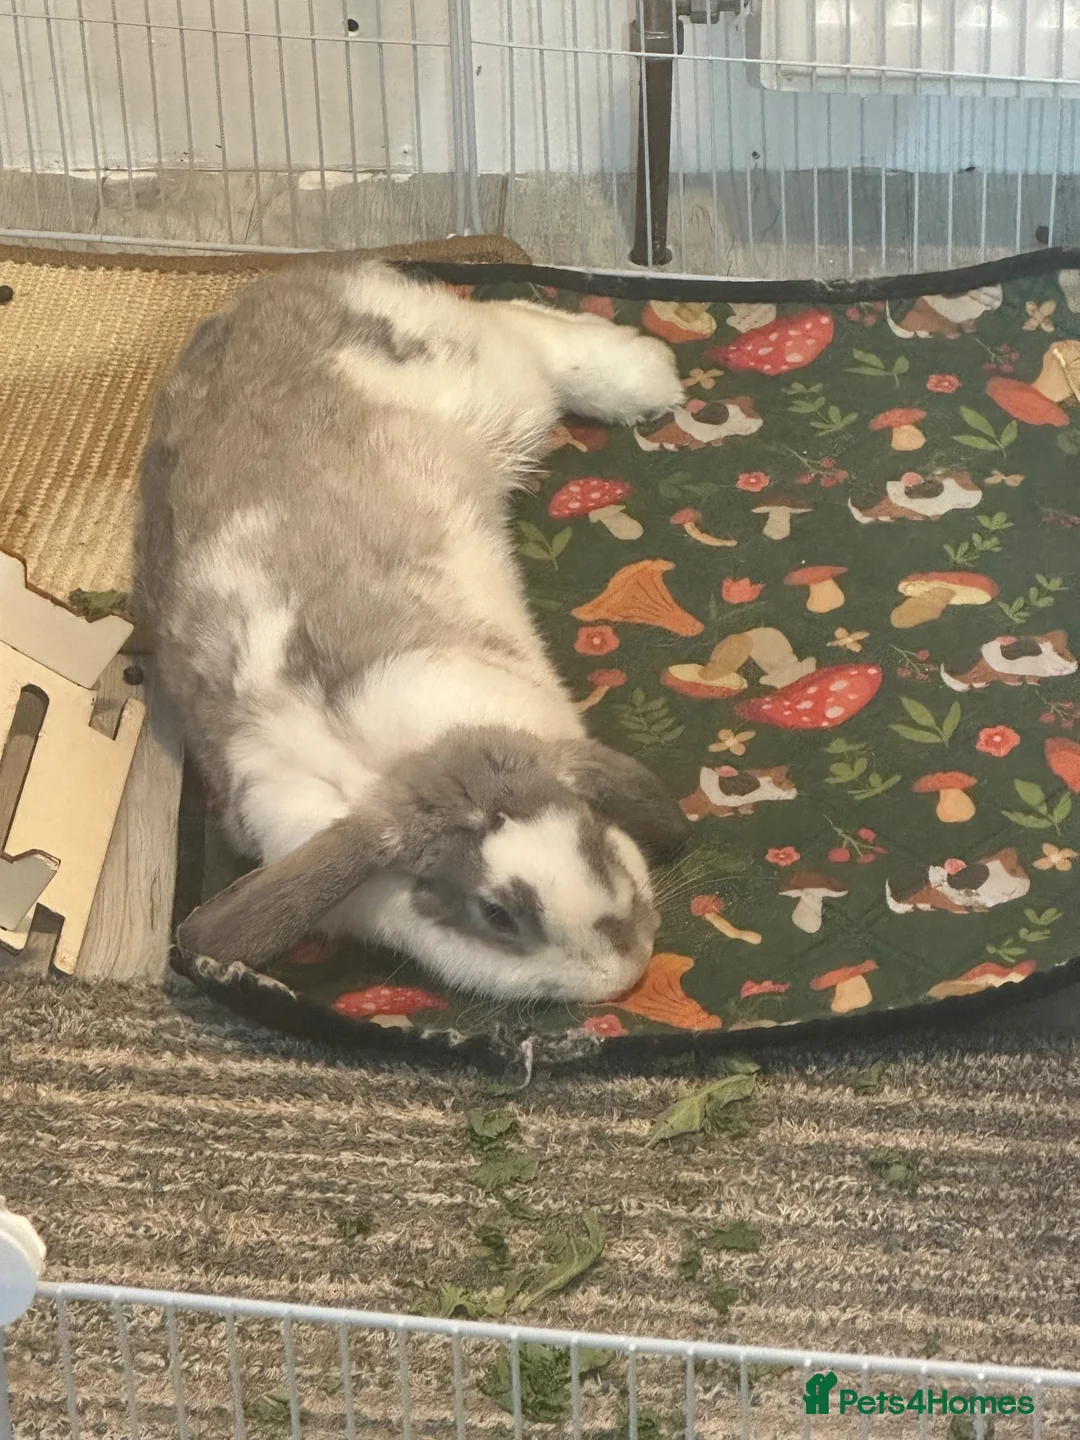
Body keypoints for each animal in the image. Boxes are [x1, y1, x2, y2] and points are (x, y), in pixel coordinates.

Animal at [136, 256, 690, 1003]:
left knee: (522, 327)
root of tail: (285, 283)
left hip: (488, 390)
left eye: (594, 842)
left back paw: (650, 376)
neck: (397, 764)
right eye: (496, 916)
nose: (628, 966)